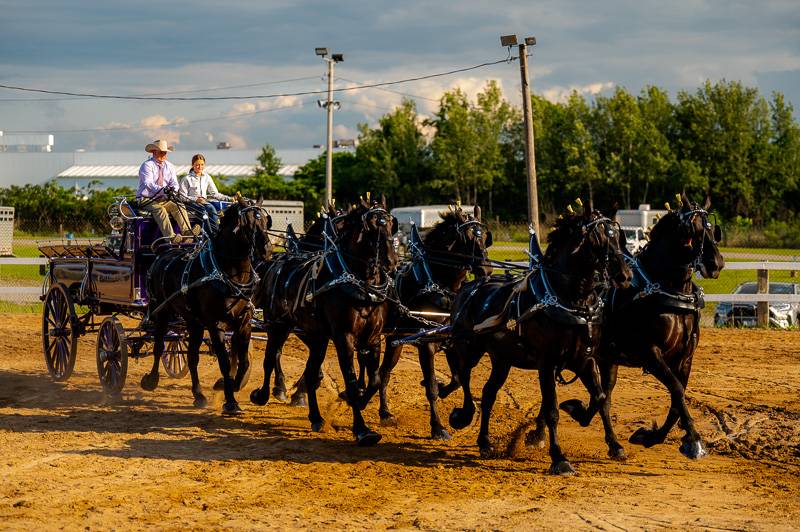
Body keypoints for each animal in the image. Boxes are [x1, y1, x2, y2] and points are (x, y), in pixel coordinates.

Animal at [141, 197, 272, 414]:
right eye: (248, 224)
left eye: (266, 221)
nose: (268, 251)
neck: (229, 273)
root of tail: (163, 253)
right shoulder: (215, 324)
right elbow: (225, 363)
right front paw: (231, 402)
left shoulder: (244, 322)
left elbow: (243, 361)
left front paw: (230, 385)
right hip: (161, 311)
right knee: (159, 346)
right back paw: (151, 380)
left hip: (193, 322)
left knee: (192, 357)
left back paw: (198, 395)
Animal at [252, 197, 398, 442]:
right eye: (370, 229)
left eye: (390, 224)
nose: (391, 261)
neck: (360, 284)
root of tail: (276, 263)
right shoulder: (343, 337)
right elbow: (350, 380)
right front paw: (361, 429)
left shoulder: (373, 337)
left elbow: (376, 379)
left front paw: (362, 402)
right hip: (279, 325)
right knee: (271, 357)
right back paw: (264, 394)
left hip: (317, 337)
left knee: (310, 372)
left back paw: (316, 417)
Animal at [376, 206, 494, 438]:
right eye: (468, 239)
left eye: (485, 237)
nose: (486, 270)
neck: (439, 285)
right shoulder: (426, 344)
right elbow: (430, 386)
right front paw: (438, 427)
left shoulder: (451, 341)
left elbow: (457, 379)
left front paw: (452, 405)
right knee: (381, 372)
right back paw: (380, 410)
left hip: (395, 341)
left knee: (384, 372)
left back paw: (383, 411)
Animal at [450, 207, 632, 474]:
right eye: (598, 240)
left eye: (618, 238)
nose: (624, 276)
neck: (571, 301)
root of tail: (469, 287)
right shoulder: (546, 363)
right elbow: (551, 409)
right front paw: (559, 458)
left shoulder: (584, 359)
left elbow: (600, 399)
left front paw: (610, 440)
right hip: (468, 348)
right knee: (463, 376)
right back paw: (462, 415)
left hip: (502, 358)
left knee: (489, 393)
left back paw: (484, 442)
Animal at [556, 193, 724, 460]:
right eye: (691, 232)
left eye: (712, 230)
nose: (716, 263)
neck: (668, 290)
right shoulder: (650, 354)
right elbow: (677, 389)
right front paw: (693, 439)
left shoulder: (685, 357)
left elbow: (677, 398)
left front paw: (652, 436)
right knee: (600, 398)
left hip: (607, 360)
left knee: (603, 397)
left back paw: (602, 433)